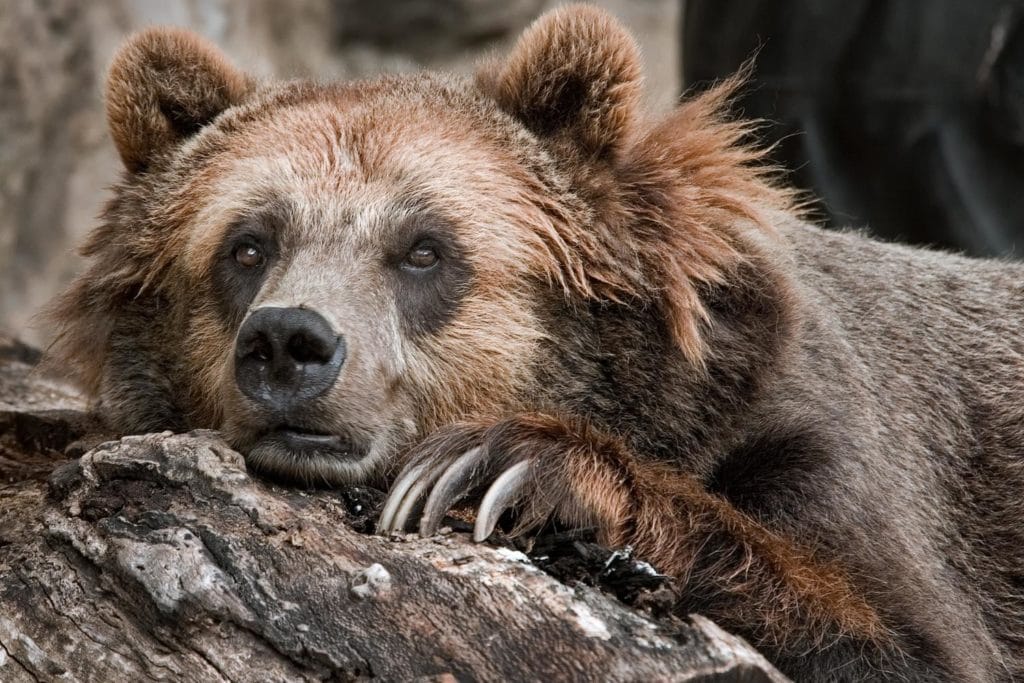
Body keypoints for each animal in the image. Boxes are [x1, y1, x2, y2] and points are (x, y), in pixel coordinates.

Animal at [46, 5, 1024, 681]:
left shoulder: (833, 440)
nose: (289, 342)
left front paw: (503, 467)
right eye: (247, 244)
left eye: (425, 248)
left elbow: (903, 638)